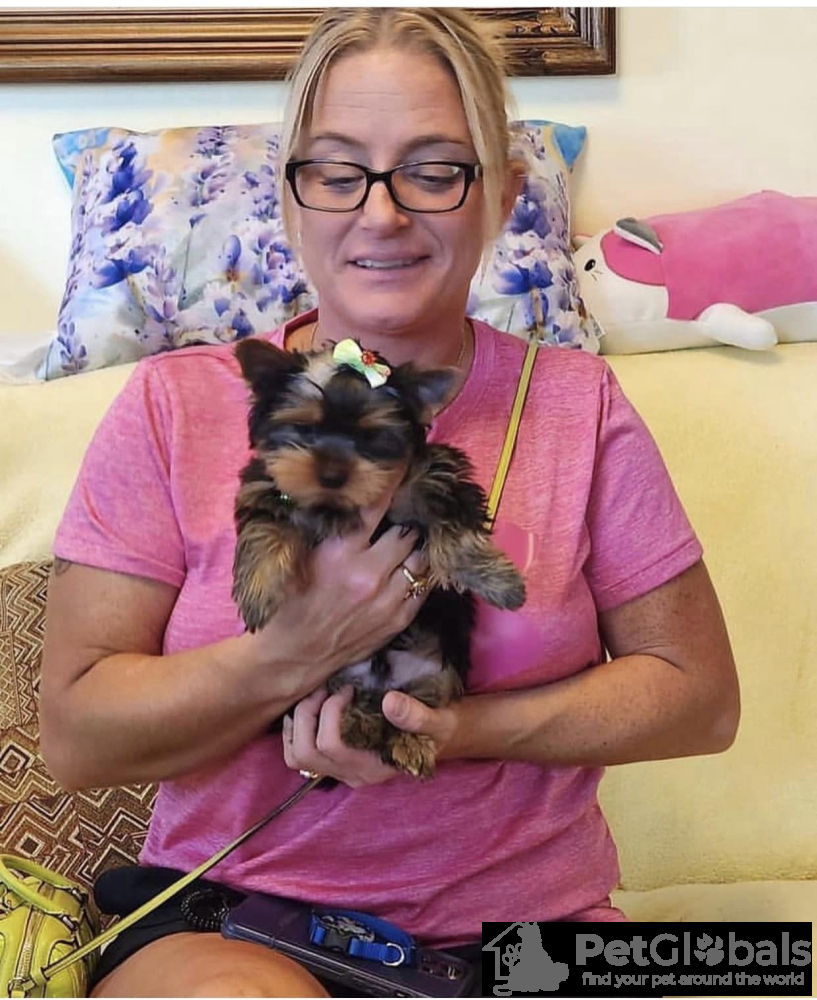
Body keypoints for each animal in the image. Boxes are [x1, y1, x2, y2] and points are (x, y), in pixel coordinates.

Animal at [232, 336, 526, 778]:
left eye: (371, 437)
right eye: (305, 427)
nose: (332, 475)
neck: (340, 505)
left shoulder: (427, 477)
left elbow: (453, 522)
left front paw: (497, 581)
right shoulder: (269, 486)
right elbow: (265, 526)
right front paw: (258, 591)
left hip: (437, 671)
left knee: (411, 702)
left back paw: (408, 739)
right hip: (320, 681)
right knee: (344, 704)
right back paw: (358, 723)